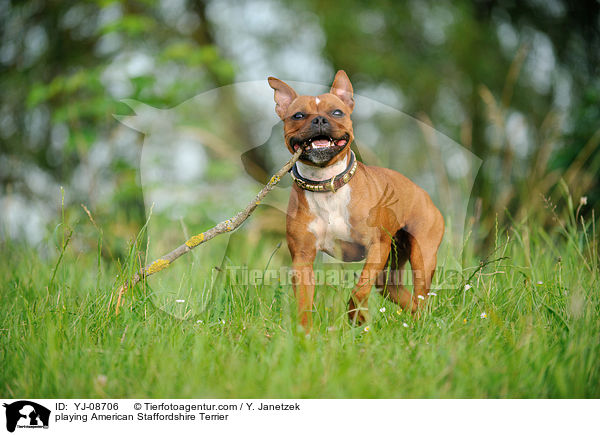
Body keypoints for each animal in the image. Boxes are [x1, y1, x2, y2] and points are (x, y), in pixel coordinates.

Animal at [270, 71, 442, 328]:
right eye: (298, 115)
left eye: (336, 112)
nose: (319, 120)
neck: (327, 183)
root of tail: (423, 193)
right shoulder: (302, 259)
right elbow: (303, 303)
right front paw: (304, 333)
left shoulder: (376, 247)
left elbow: (359, 290)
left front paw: (356, 316)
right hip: (390, 270)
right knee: (401, 294)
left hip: (422, 256)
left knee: (420, 295)